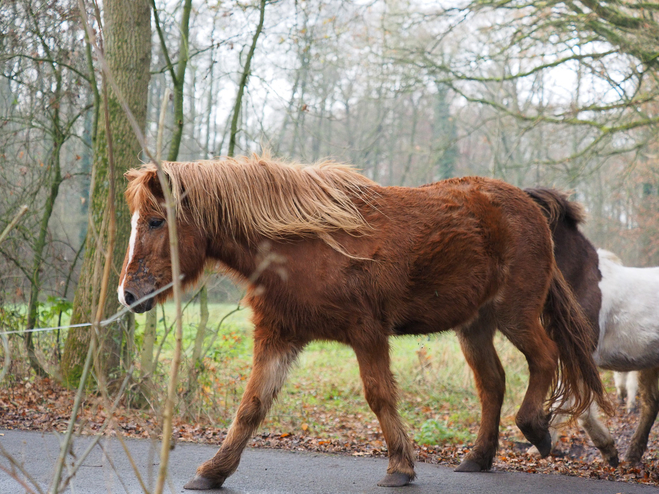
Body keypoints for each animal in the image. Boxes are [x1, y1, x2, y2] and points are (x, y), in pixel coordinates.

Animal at [117, 156, 608, 488]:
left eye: (157, 221)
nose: (128, 295)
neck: (300, 246)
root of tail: (528, 204)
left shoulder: (367, 333)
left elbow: (379, 396)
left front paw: (400, 467)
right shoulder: (278, 337)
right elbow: (251, 406)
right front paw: (213, 472)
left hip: (515, 314)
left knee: (544, 358)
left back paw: (535, 428)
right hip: (475, 325)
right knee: (493, 383)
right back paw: (478, 457)